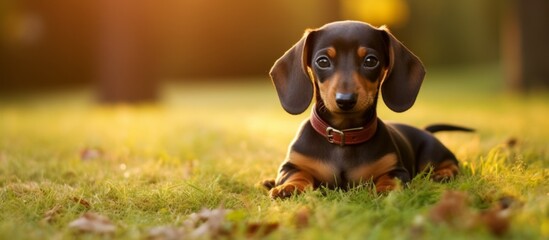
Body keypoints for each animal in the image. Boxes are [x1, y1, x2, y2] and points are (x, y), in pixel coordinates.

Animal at [262, 21, 470, 199]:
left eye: (371, 61)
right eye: (322, 61)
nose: (345, 100)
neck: (343, 135)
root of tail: (424, 130)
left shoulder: (396, 170)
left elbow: (390, 178)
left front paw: (385, 189)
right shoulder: (290, 166)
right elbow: (298, 174)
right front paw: (289, 188)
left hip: (431, 155)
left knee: (452, 164)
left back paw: (443, 174)